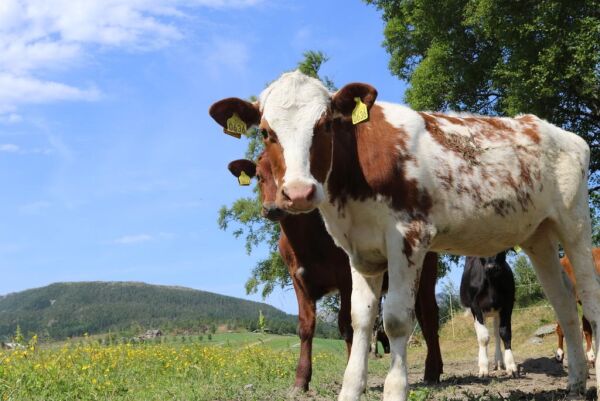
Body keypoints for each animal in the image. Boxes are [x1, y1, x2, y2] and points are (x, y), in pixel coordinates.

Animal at [223, 152, 442, 390]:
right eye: (259, 176)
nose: (273, 208)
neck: (305, 242)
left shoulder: (346, 276)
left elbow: (347, 325)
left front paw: (352, 375)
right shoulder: (298, 279)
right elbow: (305, 327)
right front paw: (301, 380)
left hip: (426, 270)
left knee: (430, 315)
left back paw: (432, 371)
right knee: (421, 316)